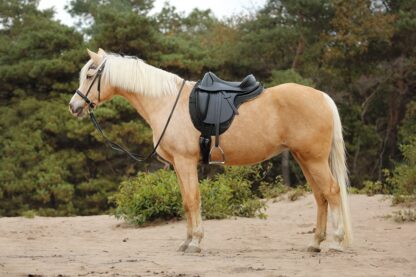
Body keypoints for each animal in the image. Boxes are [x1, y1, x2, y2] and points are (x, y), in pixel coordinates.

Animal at [69, 49, 354, 252]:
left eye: (90, 75)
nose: (74, 107)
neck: (166, 102)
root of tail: (323, 97)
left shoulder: (185, 161)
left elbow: (193, 199)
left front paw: (195, 242)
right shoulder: (178, 165)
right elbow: (186, 202)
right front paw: (186, 242)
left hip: (314, 159)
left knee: (332, 192)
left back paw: (337, 242)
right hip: (304, 159)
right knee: (320, 196)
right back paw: (315, 243)